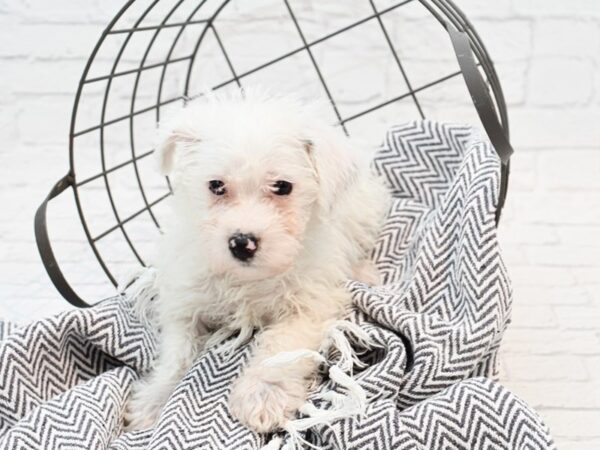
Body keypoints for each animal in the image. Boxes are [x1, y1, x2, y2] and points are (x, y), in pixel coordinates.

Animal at [125, 88, 392, 432]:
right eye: (216, 185)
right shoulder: (184, 302)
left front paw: (263, 394)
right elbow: (178, 353)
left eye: (282, 186)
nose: (242, 243)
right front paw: (155, 400)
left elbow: (280, 346)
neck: (247, 278)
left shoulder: (309, 304)